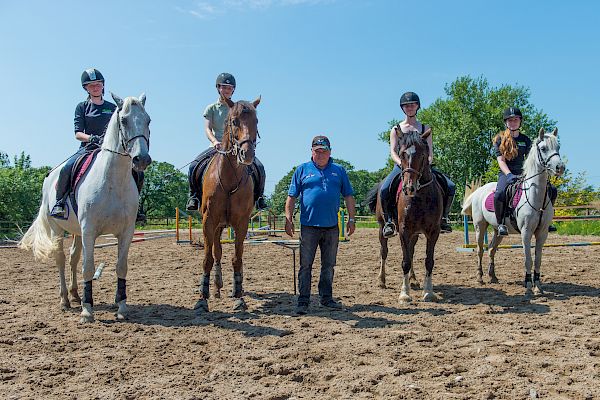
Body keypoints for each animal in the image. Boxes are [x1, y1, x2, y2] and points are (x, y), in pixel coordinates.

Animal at [19, 93, 151, 322]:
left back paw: (75, 295)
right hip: (57, 229)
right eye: (124, 120)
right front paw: (87, 311)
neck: (112, 181)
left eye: (148, 120)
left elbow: (121, 267)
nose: (141, 159)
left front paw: (121, 307)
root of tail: (49, 178)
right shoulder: (89, 230)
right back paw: (65, 300)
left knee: (73, 258)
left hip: (77, 232)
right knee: (61, 259)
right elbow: (88, 268)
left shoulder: (126, 232)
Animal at [192, 94, 258, 312]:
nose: (247, 154)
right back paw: (217, 285)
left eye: (256, 121)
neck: (229, 178)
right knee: (217, 252)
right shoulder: (208, 221)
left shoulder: (242, 223)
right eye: (234, 121)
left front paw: (238, 296)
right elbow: (208, 258)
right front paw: (202, 297)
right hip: (217, 225)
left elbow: (237, 258)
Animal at [364, 130, 442, 302]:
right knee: (384, 251)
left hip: (415, 234)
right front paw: (404, 294)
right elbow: (405, 261)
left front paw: (428, 291)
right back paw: (381, 281)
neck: (420, 197)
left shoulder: (433, 232)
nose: (408, 188)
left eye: (422, 154)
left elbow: (428, 261)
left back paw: (413, 279)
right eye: (401, 154)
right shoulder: (404, 230)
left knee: (411, 252)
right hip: (382, 227)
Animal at [462, 128, 564, 296]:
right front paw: (528, 286)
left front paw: (538, 286)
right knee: (480, 250)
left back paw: (493, 277)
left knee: (491, 249)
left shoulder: (542, 233)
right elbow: (528, 259)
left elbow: (538, 260)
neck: (535, 195)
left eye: (558, 147)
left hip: (498, 230)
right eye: (543, 148)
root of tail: (479, 191)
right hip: (479, 226)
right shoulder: (526, 232)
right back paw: (480, 278)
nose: (560, 167)